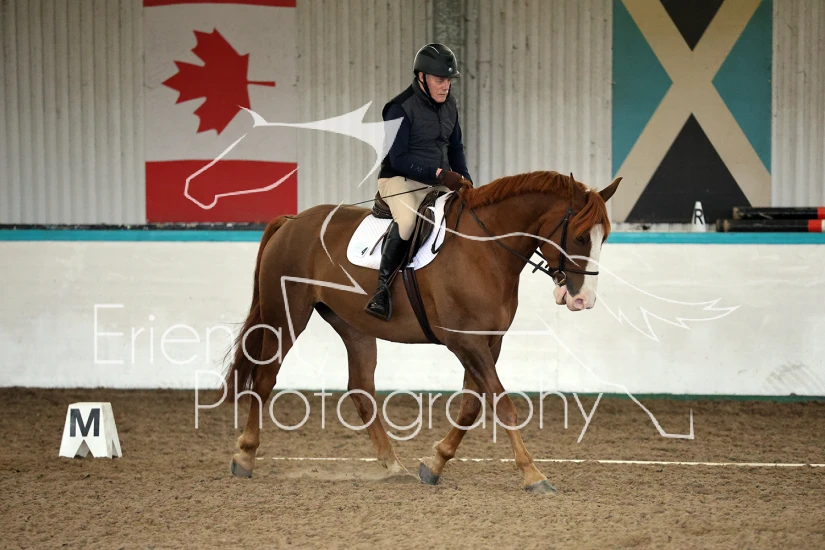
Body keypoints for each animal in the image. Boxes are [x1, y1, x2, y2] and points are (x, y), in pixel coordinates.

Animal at [223, 170, 621, 493]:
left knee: (361, 389)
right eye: (581, 237)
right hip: (285, 315)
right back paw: (244, 456)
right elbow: (502, 404)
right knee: (264, 379)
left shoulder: (488, 343)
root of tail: (292, 221)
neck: (485, 250)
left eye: (604, 237)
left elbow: (472, 406)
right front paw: (533, 474)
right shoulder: (465, 342)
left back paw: (392, 464)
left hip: (353, 326)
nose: (583, 299)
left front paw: (435, 464)